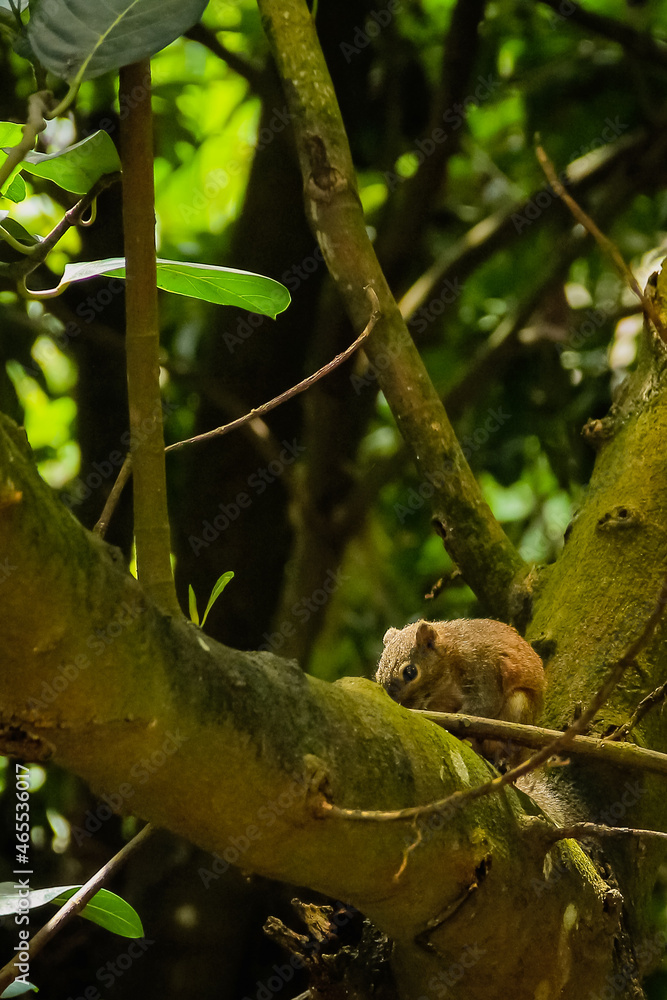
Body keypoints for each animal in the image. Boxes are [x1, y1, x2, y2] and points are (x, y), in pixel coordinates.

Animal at [376, 616, 548, 764]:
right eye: (378, 676)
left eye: (410, 672)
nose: (397, 703)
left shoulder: (483, 668)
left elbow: (484, 705)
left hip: (519, 707)